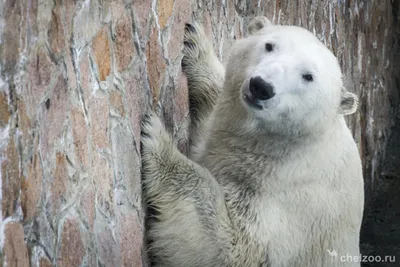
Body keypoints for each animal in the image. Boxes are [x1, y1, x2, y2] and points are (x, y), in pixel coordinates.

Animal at [142, 17, 364, 267]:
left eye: (308, 76)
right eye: (269, 45)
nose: (261, 86)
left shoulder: (289, 207)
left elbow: (232, 249)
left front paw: (157, 139)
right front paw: (196, 44)